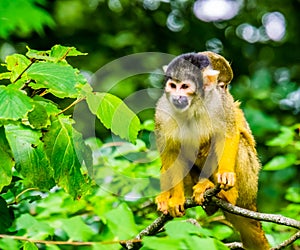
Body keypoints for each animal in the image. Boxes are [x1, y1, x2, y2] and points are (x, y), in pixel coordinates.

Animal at [155, 51, 270, 249]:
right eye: (173, 85)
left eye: (185, 86)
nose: (177, 97)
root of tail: (251, 204)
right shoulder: (163, 110)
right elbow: (170, 151)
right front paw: (175, 199)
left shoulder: (221, 103)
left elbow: (228, 133)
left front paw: (225, 175)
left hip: (248, 185)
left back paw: (225, 194)